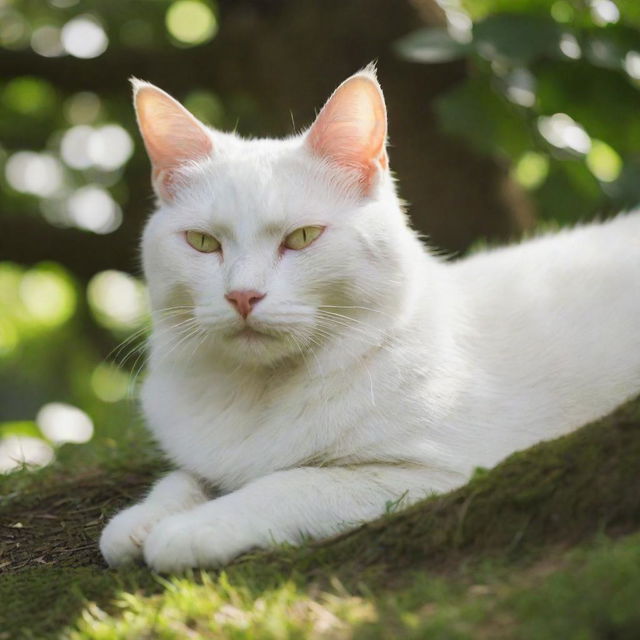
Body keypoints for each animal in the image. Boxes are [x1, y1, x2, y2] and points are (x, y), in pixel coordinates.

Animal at [100, 67, 640, 572]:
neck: (260, 393)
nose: (242, 295)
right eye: (202, 242)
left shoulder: (438, 473)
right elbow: (183, 476)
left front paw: (194, 527)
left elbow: (291, 482)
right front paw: (140, 520)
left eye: (302, 237)